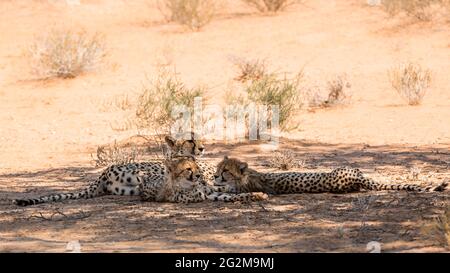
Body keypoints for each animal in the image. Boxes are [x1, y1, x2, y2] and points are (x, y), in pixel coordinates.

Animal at [139, 155, 268, 202]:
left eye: (196, 167)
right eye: (188, 169)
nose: (198, 175)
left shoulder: (209, 191)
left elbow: (231, 194)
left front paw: (257, 194)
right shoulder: (205, 196)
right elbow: (229, 196)